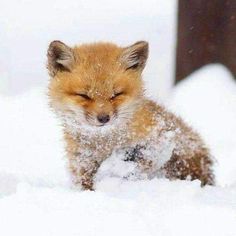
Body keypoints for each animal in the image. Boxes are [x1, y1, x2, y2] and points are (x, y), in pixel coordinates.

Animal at [47, 39, 215, 190]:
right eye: (84, 95)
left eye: (116, 94)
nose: (104, 118)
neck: (105, 145)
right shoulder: (82, 164)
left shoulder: (162, 138)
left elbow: (141, 159)